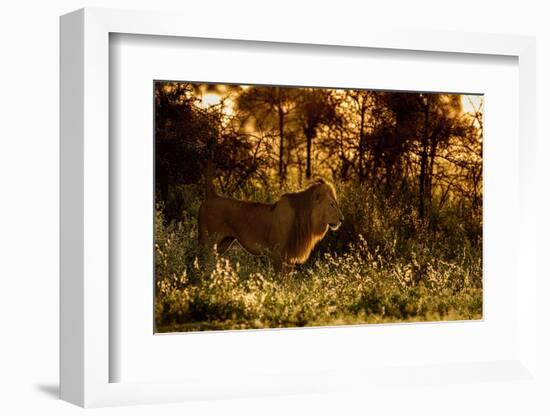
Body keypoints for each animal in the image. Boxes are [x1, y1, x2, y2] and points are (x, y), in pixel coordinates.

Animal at [198, 171, 344, 272]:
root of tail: (212, 196)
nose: (342, 219)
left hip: (223, 243)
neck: (305, 219)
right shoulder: (277, 254)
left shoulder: (289, 257)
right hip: (208, 241)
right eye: (332, 204)